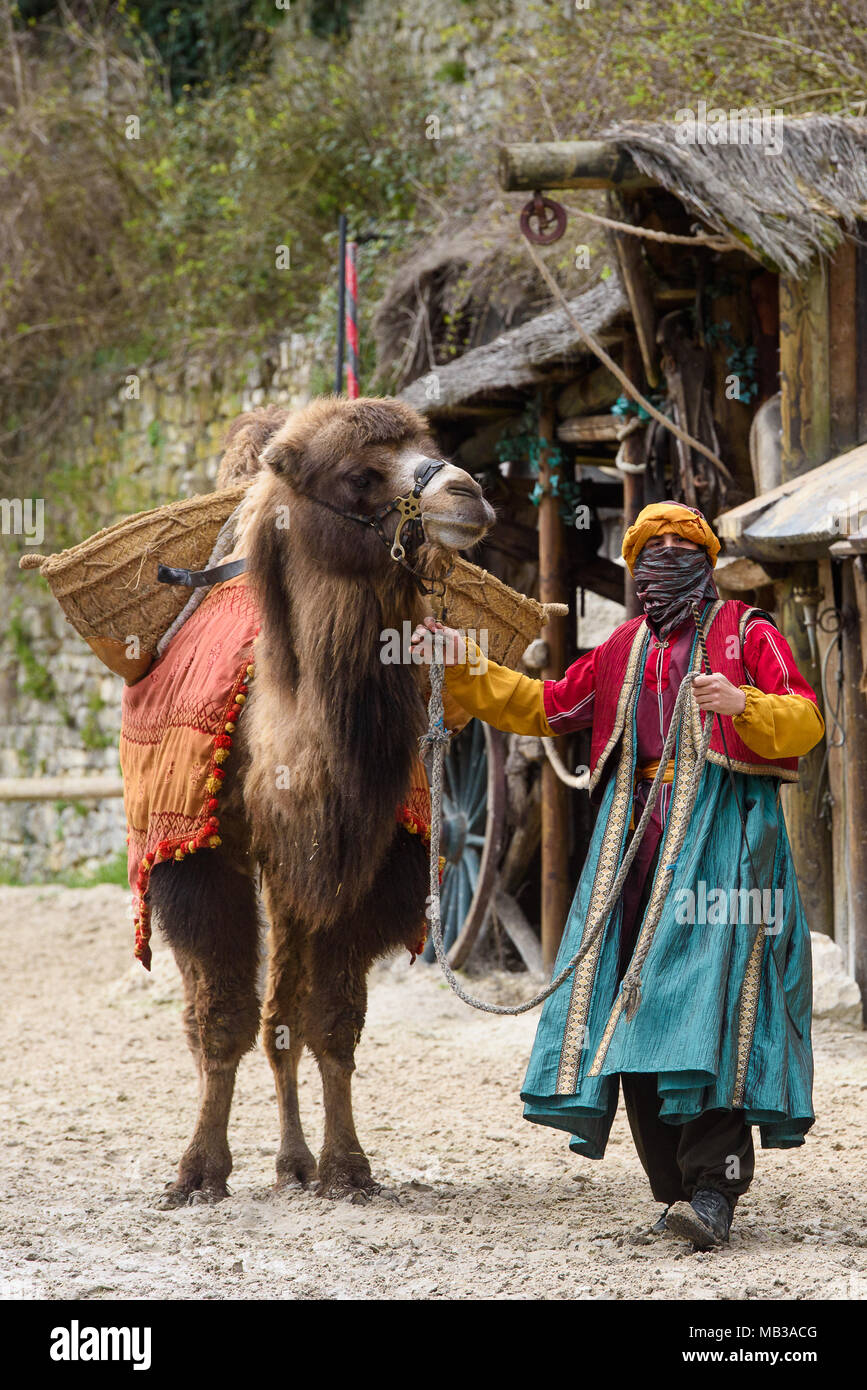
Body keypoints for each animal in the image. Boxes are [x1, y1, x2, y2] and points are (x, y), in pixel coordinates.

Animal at [148, 397, 494, 1200]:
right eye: (358, 476)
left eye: (429, 444)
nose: (468, 494)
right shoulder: (202, 857)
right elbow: (222, 1016)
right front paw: (198, 1173)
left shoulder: (354, 862)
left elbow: (331, 1020)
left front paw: (345, 1167)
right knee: (223, 1016)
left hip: (291, 881)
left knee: (284, 1018)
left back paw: (295, 1161)